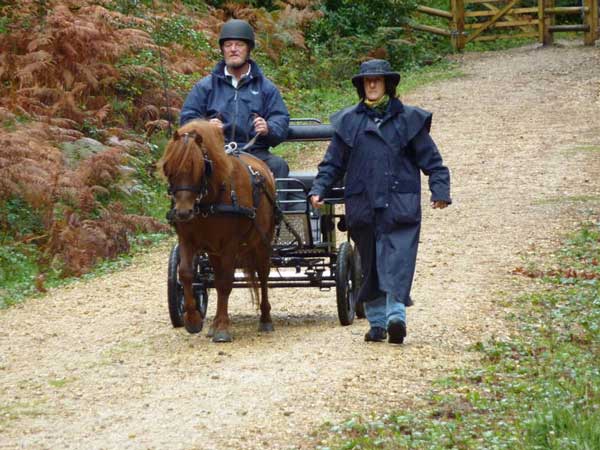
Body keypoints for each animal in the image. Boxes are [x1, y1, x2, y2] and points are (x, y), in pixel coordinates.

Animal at [158, 119, 278, 342]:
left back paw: (265, 318)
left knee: (263, 274)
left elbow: (224, 282)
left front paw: (222, 327)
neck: (210, 199)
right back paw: (212, 324)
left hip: (262, 241)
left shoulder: (230, 244)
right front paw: (193, 320)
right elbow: (186, 274)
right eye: (168, 167)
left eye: (198, 166)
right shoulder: (187, 240)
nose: (183, 212)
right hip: (214, 250)